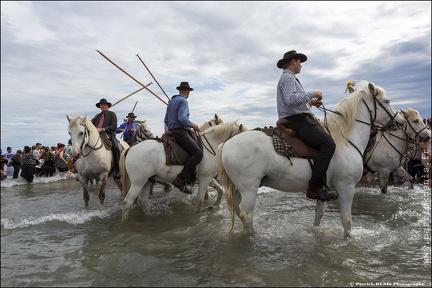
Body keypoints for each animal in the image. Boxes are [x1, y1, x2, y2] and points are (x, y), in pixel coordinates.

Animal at [120, 120, 248, 220]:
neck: (209, 145)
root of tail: (130, 149)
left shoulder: (208, 178)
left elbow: (220, 189)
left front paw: (214, 206)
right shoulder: (205, 178)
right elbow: (200, 200)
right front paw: (197, 214)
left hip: (147, 181)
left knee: (143, 201)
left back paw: (149, 217)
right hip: (137, 183)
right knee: (127, 202)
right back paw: (124, 222)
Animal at [216, 82, 404, 237]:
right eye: (387, 101)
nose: (401, 122)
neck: (345, 139)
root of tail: (226, 144)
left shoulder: (323, 189)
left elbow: (318, 216)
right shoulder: (347, 187)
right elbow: (347, 222)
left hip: (239, 188)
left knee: (238, 210)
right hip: (250, 187)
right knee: (246, 215)